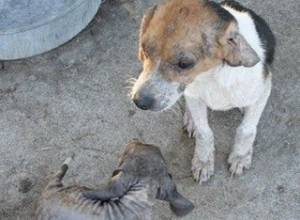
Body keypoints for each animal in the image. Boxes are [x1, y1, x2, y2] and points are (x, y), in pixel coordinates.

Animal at [130, 0, 276, 182]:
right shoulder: (194, 96)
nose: (139, 101)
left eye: (185, 64)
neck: (211, 75)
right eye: (144, 50)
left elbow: (246, 129)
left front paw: (240, 156)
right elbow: (204, 132)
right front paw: (203, 161)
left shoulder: (263, 91)